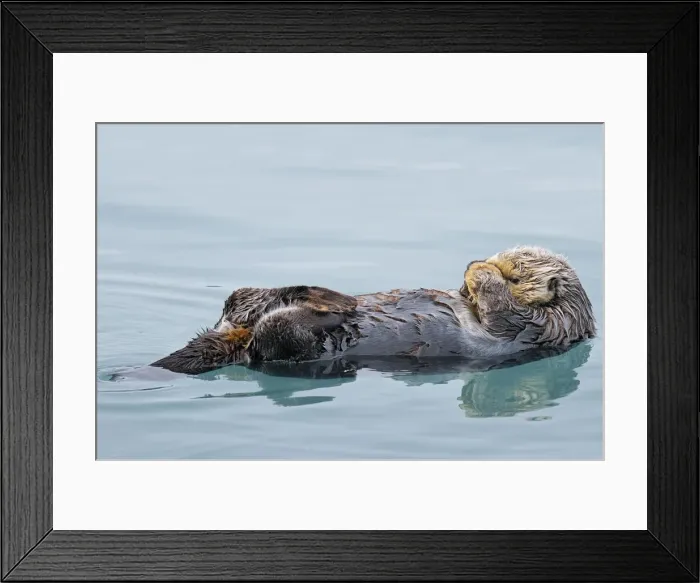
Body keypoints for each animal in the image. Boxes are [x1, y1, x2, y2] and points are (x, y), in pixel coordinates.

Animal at [150, 246, 596, 376]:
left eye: (518, 272)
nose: (484, 260)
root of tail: (235, 334)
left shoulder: (533, 328)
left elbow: (502, 313)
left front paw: (479, 274)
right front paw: (469, 273)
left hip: (291, 347)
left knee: (277, 333)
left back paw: (333, 308)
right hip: (245, 307)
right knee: (242, 296)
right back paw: (331, 296)